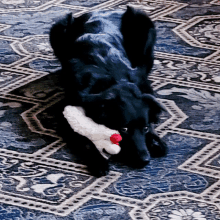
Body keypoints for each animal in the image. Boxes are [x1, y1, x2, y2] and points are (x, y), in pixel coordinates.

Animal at [49, 6, 167, 176]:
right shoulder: (63, 113)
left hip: (143, 22)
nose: (145, 160)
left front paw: (155, 140)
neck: (112, 79)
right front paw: (98, 161)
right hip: (58, 27)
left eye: (144, 128)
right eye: (124, 129)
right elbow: (83, 139)